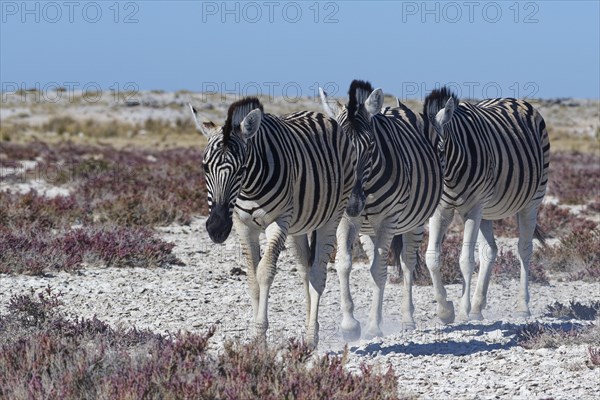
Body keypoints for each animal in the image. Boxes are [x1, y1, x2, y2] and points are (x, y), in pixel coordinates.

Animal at [190, 97, 354, 346]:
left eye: (241, 169)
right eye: (204, 167)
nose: (217, 228)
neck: (249, 188)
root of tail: (319, 115)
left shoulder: (279, 221)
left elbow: (264, 272)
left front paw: (260, 335)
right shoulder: (243, 226)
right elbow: (252, 278)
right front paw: (257, 338)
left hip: (332, 215)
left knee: (318, 273)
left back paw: (311, 337)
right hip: (298, 225)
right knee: (305, 270)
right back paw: (309, 326)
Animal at [322, 81, 442, 340]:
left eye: (370, 146)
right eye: (341, 149)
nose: (353, 205)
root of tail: (397, 108)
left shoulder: (388, 219)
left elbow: (379, 270)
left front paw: (373, 327)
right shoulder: (345, 219)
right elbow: (344, 263)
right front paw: (350, 325)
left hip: (414, 221)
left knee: (407, 263)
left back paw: (408, 320)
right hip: (368, 230)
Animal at [424, 86, 552, 322]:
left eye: (439, 150)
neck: (450, 175)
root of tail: (514, 99)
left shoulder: (473, 209)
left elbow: (466, 260)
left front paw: (462, 311)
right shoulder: (440, 211)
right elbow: (432, 257)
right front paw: (445, 310)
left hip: (531, 202)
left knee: (524, 249)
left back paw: (522, 307)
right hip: (487, 211)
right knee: (490, 251)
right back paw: (477, 307)